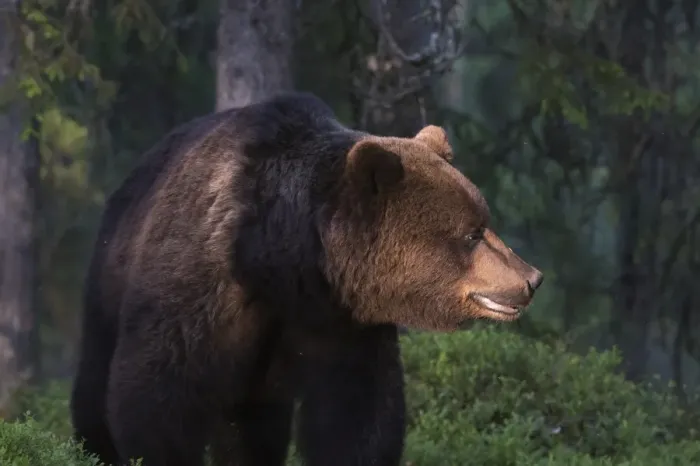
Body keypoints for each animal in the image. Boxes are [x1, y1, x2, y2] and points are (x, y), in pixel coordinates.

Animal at [69, 92, 543, 466]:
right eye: (471, 234)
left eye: (484, 220)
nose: (532, 278)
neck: (282, 262)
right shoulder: (200, 289)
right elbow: (156, 399)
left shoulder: (342, 323)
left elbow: (358, 417)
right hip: (110, 273)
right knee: (94, 380)